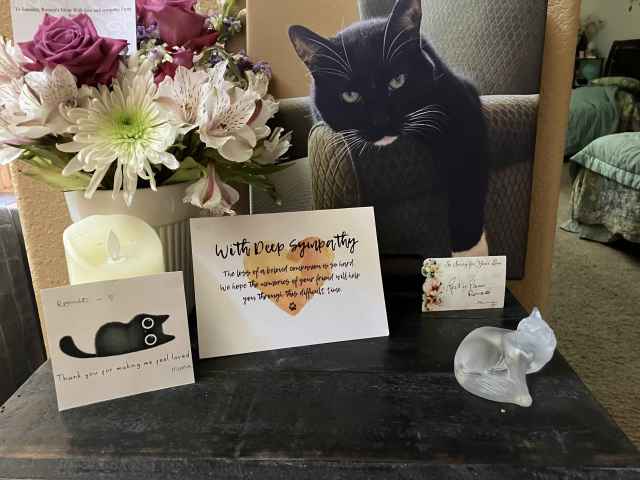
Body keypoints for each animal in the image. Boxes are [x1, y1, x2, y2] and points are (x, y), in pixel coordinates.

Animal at [289, 0, 489, 256]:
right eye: (350, 96)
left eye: (397, 81)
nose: (381, 121)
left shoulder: (460, 96)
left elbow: (466, 160)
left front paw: (467, 242)